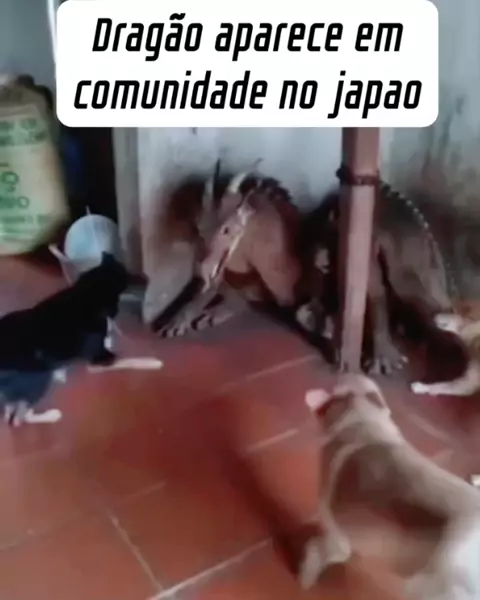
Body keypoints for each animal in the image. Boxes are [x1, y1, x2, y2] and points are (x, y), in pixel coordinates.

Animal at [0, 252, 129, 425]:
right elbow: (112, 353)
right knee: (21, 417)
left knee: (11, 413)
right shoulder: (100, 356)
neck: (87, 294)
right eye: (123, 272)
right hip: (39, 378)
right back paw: (52, 415)